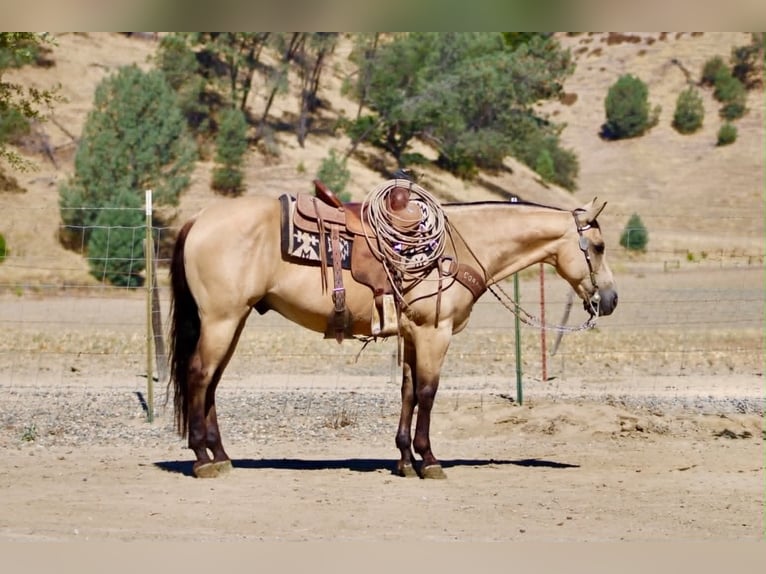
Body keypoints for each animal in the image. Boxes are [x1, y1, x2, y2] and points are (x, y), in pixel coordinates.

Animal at [167, 184, 618, 479]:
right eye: (597, 247)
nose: (610, 300)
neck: (458, 245)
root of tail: (199, 219)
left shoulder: (413, 332)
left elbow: (407, 391)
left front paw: (405, 460)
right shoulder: (435, 332)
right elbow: (427, 393)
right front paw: (429, 460)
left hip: (233, 320)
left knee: (211, 383)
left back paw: (221, 454)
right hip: (221, 320)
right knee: (199, 376)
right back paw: (202, 458)